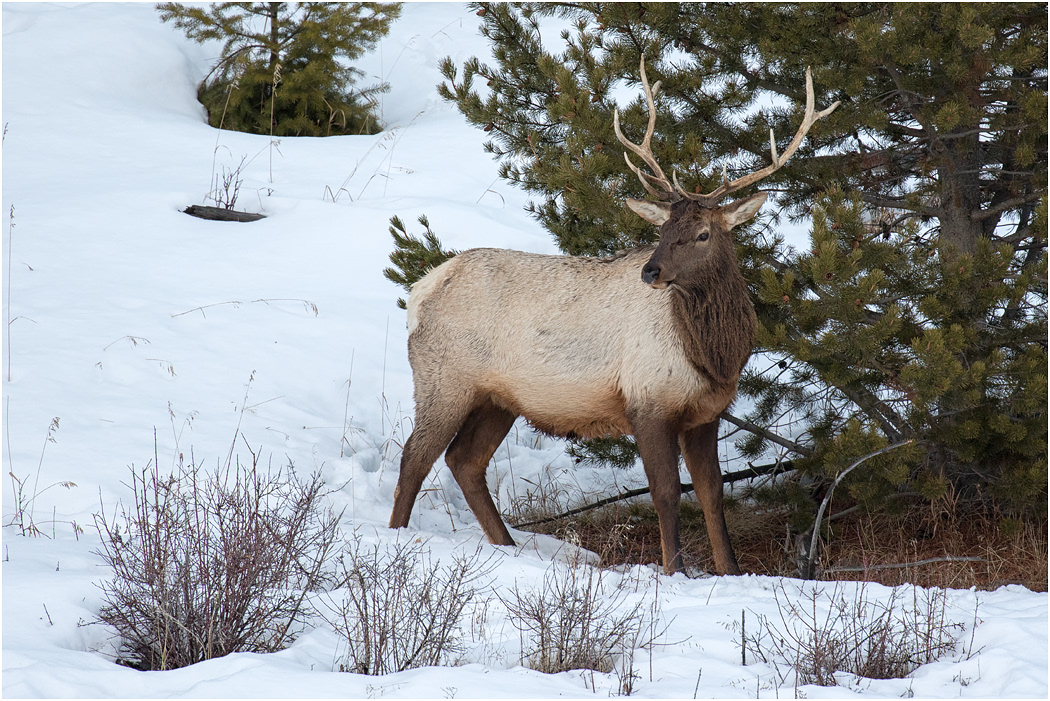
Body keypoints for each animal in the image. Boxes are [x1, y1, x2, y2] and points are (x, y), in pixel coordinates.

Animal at [388, 59, 838, 575]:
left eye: (703, 233)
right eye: (662, 230)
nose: (651, 270)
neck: (715, 357)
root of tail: (419, 292)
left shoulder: (706, 412)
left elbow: (712, 492)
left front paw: (730, 570)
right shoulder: (647, 401)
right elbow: (667, 492)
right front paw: (674, 569)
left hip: (498, 397)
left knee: (464, 460)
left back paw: (507, 545)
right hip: (443, 379)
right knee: (415, 456)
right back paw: (398, 536)